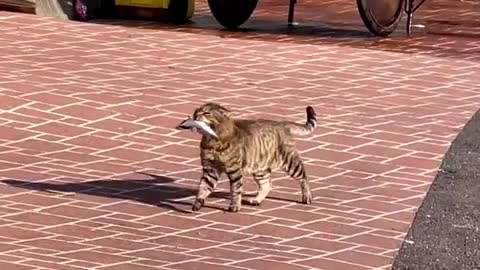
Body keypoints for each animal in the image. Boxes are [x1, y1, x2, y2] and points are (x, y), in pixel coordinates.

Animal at [174, 102, 316, 212]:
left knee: (303, 177)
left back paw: (307, 197)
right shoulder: (210, 169)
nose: (195, 116)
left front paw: (235, 206)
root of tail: (282, 123)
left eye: (207, 113)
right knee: (267, 184)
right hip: (260, 168)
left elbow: (236, 189)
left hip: (290, 162)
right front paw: (198, 203)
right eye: (196, 111)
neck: (212, 142)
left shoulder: (234, 170)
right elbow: (203, 188)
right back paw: (257, 200)